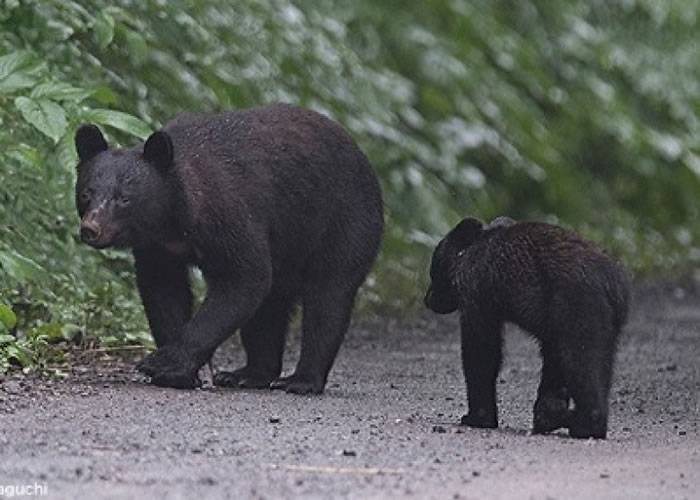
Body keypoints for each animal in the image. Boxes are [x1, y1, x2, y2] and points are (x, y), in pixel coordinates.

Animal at [72, 103, 382, 392]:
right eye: (86, 193)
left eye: (124, 198)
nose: (91, 228)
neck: (174, 221)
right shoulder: (158, 248)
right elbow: (163, 291)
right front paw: (180, 374)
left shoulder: (228, 213)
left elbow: (244, 278)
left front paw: (164, 364)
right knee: (269, 309)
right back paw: (247, 374)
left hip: (343, 221)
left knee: (327, 298)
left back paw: (300, 380)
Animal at [424, 217, 632, 440]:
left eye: (433, 272)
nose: (428, 299)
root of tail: (612, 283)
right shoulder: (551, 325)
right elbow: (552, 361)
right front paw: (550, 406)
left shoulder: (477, 291)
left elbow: (482, 352)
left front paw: (477, 417)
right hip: (607, 323)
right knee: (600, 363)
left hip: (579, 307)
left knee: (582, 359)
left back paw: (584, 423)